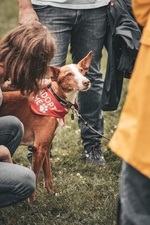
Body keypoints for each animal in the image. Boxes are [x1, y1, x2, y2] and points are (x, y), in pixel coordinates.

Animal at [0, 51, 92, 204]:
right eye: (69, 74)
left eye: (81, 71)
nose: (86, 82)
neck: (55, 98)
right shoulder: (39, 148)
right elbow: (35, 176)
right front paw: (32, 204)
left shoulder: (46, 146)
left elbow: (48, 175)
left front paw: (52, 194)